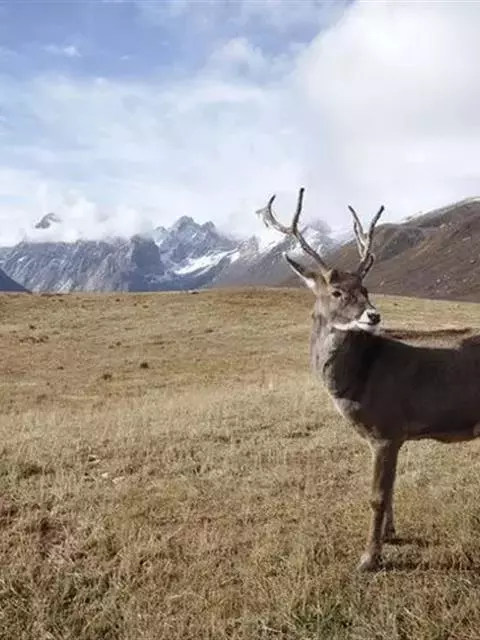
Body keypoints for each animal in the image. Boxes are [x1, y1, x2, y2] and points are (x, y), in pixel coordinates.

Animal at [256, 187, 480, 572]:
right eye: (336, 292)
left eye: (366, 288)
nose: (373, 315)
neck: (357, 380)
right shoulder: (393, 435)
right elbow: (390, 490)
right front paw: (390, 534)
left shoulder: (386, 429)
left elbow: (376, 495)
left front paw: (369, 558)